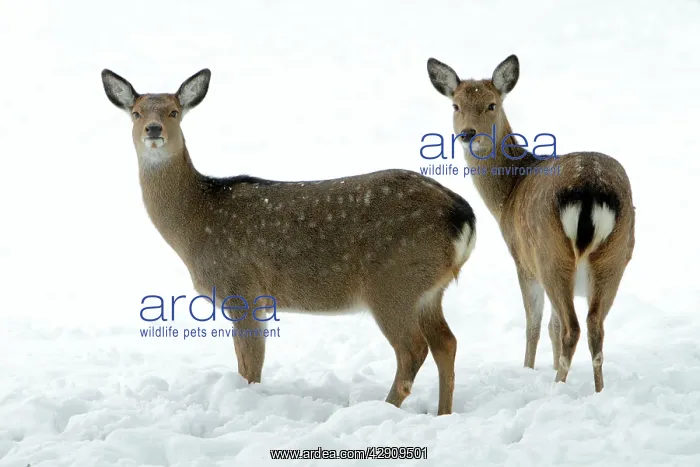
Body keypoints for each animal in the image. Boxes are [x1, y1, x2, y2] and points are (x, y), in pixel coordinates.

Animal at [101, 67, 477, 415]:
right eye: (136, 112)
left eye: (174, 111)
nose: (153, 129)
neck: (195, 226)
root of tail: (463, 216)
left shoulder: (242, 289)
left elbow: (250, 368)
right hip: (428, 289)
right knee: (447, 342)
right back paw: (443, 413)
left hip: (393, 283)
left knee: (413, 349)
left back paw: (381, 408)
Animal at [426, 55, 635, 392]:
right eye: (455, 105)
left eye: (492, 104)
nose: (468, 134)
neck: (507, 197)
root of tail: (591, 189)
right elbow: (550, 324)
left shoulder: (522, 260)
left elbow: (534, 324)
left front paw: (527, 369)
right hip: (615, 255)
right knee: (594, 325)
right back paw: (598, 391)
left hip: (549, 252)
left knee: (572, 327)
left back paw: (557, 387)